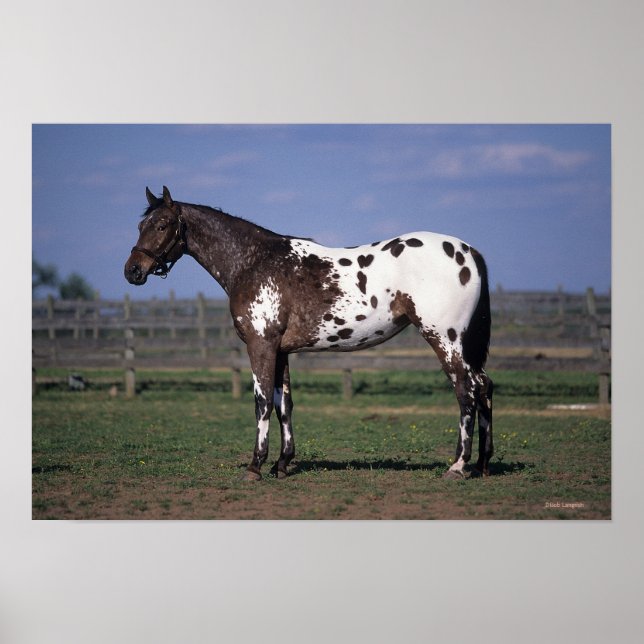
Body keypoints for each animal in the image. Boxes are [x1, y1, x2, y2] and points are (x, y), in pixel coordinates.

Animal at [124, 186, 494, 481]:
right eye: (140, 225)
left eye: (162, 225)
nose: (132, 271)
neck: (254, 262)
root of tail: (468, 251)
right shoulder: (281, 351)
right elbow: (283, 404)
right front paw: (282, 464)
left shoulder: (261, 345)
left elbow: (261, 402)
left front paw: (256, 466)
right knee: (484, 386)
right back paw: (482, 463)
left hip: (444, 338)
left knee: (466, 390)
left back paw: (457, 467)